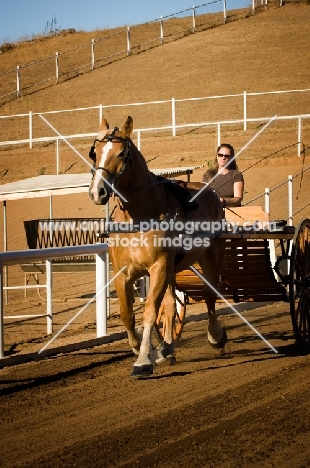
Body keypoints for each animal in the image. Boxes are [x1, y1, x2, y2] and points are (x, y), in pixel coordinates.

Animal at [88, 116, 226, 376]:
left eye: (121, 154)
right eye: (95, 152)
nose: (97, 191)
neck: (138, 217)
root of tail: (211, 193)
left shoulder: (159, 267)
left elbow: (151, 311)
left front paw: (143, 359)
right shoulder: (123, 273)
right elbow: (128, 314)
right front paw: (143, 348)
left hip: (210, 255)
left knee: (209, 294)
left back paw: (215, 336)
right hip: (172, 268)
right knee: (171, 305)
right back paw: (168, 348)